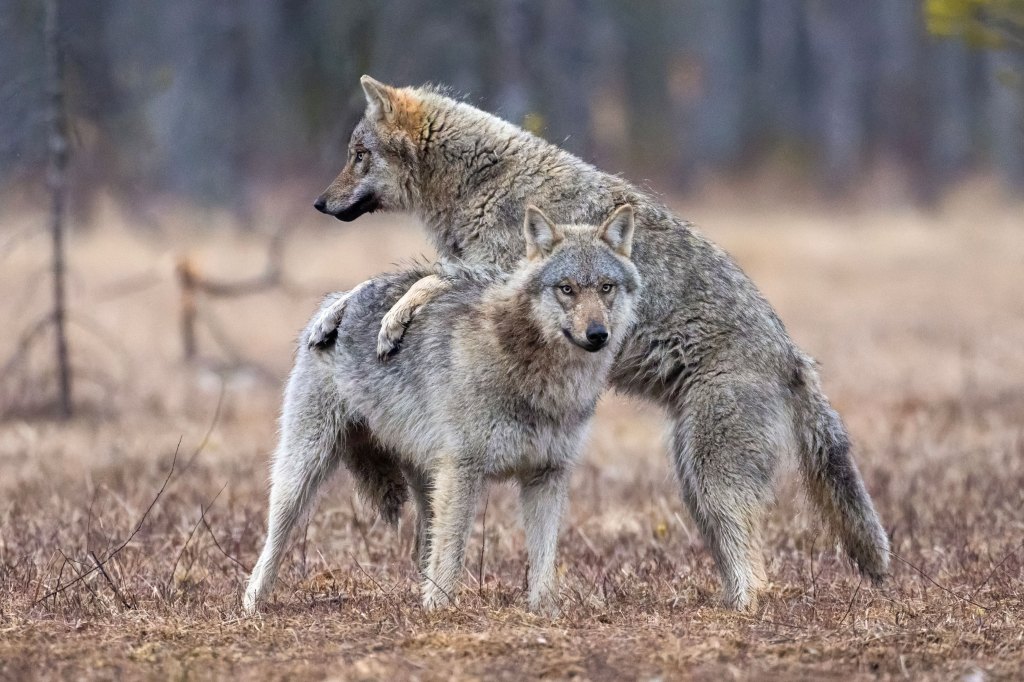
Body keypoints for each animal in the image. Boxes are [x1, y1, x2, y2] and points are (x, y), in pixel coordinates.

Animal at [243, 205, 641, 615]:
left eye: (606, 287)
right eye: (567, 289)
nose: (597, 334)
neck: (541, 378)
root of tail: (334, 299)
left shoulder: (547, 475)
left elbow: (544, 560)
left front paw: (545, 613)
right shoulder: (463, 471)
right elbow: (453, 553)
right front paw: (441, 612)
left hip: (427, 481)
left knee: (422, 543)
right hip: (303, 470)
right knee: (274, 537)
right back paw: (251, 604)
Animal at [307, 76, 891, 610]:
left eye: (358, 156)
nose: (318, 203)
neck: (483, 179)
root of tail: (794, 355)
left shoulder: (496, 273)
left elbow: (425, 278)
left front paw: (389, 321)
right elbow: (392, 278)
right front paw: (331, 318)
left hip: (711, 476)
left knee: (758, 569)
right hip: (694, 482)